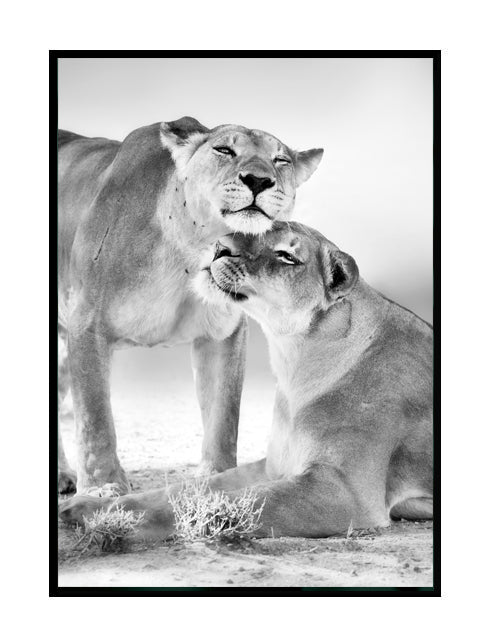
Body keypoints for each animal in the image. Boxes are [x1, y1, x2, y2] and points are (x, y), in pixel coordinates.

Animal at [58, 118, 323, 495]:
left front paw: (218, 477)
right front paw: (102, 488)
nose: (258, 180)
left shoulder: (223, 333)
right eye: (224, 150)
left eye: (280, 160)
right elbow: (95, 416)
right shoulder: (86, 322)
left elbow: (224, 412)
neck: (195, 250)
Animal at [60, 221, 433, 537]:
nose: (220, 247)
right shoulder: (274, 466)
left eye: (286, 255)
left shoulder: (343, 492)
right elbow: (187, 488)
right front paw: (90, 504)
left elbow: (220, 500)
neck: (294, 362)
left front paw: (114, 522)